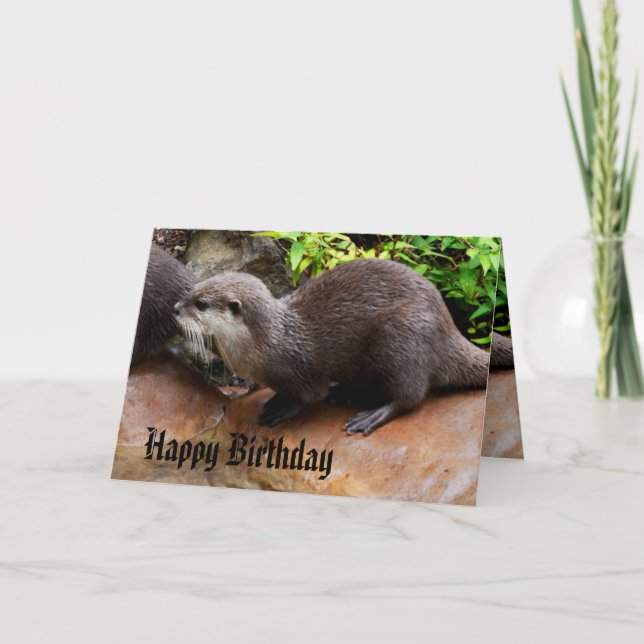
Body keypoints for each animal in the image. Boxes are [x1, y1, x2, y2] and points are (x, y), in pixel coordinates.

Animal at [173, 259, 513, 435]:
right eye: (191, 290)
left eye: (201, 304)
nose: (175, 308)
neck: (268, 342)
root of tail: (448, 328)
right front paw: (274, 398)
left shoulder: (302, 370)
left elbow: (310, 396)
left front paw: (283, 408)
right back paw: (348, 394)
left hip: (402, 337)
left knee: (411, 396)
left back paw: (371, 415)